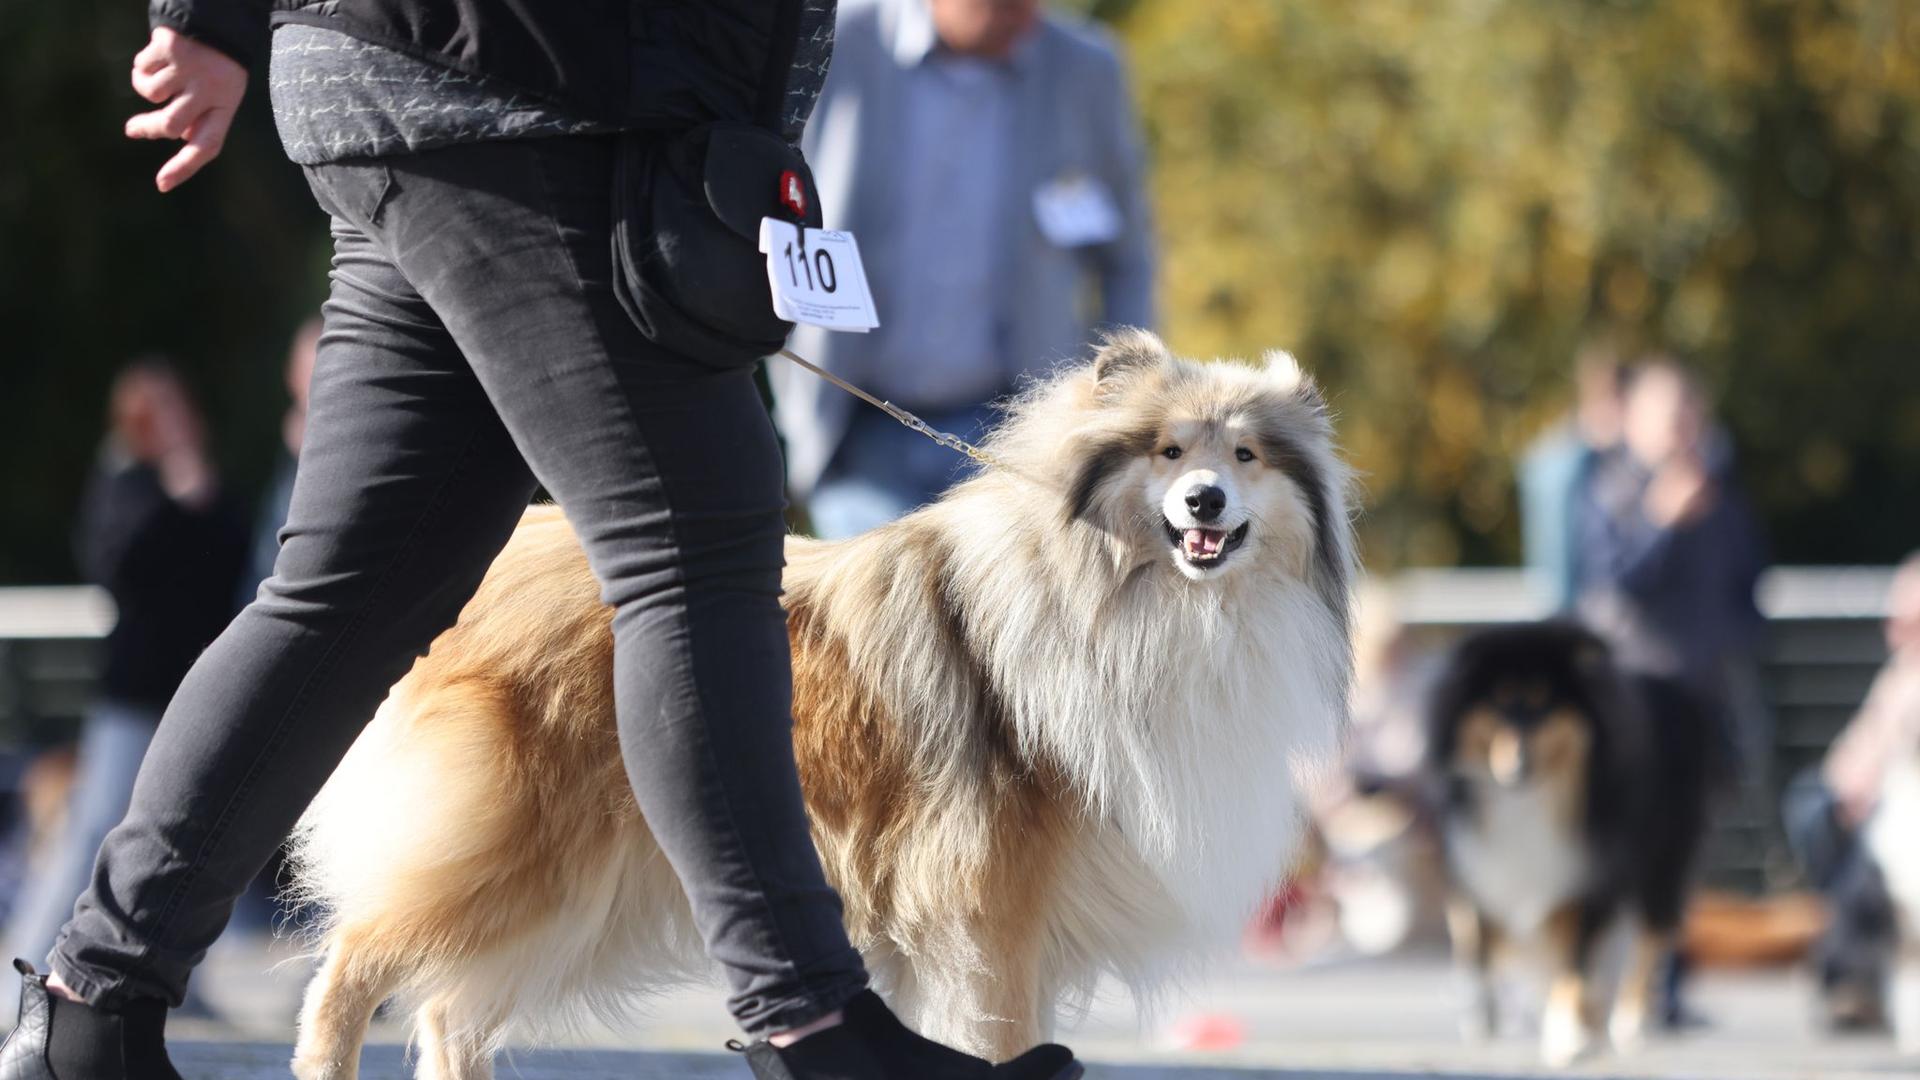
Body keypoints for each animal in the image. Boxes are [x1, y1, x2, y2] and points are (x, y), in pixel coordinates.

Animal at [288, 332, 1367, 1068]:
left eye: (1246, 457)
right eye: (1166, 452)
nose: (1204, 504)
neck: (1132, 597)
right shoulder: (990, 919)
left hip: (571, 897)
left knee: (447, 1012)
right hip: (513, 853)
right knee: (355, 963)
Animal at [1436, 618, 1720, 1060]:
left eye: (1545, 704)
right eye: (1498, 703)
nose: (1517, 766)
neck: (1533, 801)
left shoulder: (1593, 880)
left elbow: (1577, 962)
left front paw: (1568, 1036)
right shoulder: (1477, 870)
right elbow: (1475, 943)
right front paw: (1483, 1015)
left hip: (1661, 870)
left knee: (1646, 947)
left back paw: (1624, 1026)